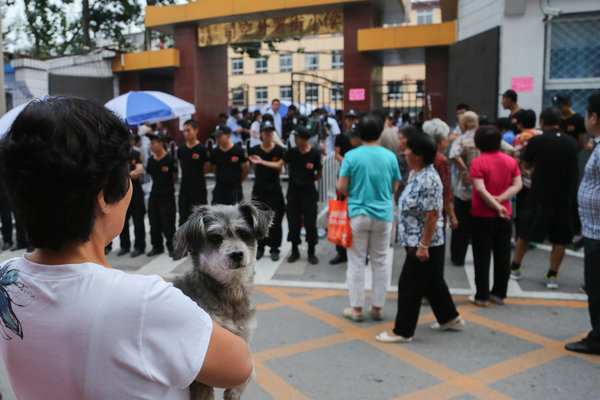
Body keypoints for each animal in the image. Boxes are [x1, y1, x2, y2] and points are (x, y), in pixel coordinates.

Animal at [172, 202, 274, 400]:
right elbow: (248, 368)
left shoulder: (242, 337)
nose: (237, 254)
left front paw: (234, 392)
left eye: (243, 234)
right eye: (216, 238)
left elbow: (250, 370)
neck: (231, 294)